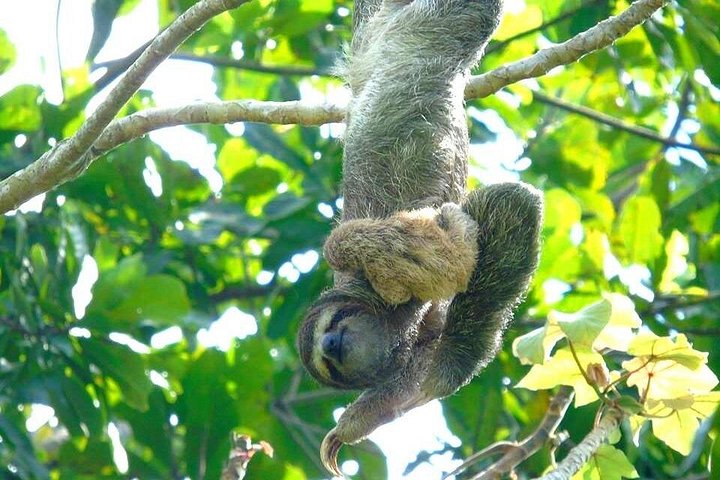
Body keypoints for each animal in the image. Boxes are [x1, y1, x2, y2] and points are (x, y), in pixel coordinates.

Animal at [295, 0, 544, 475]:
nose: (333, 344)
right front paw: (357, 421)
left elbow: (509, 203)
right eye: (329, 363)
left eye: (333, 328)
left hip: (429, 26)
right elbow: (415, 375)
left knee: (476, 15)